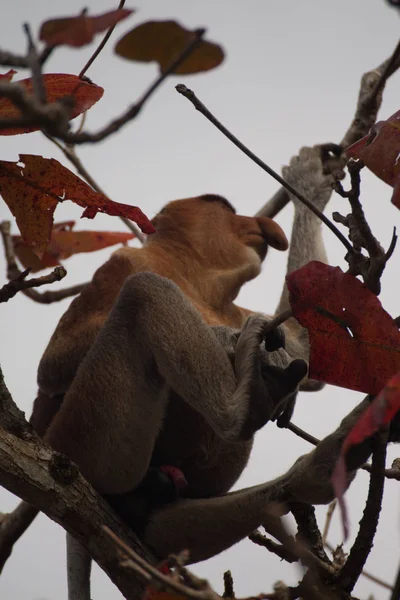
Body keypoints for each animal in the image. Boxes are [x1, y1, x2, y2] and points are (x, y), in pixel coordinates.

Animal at [29, 145, 380, 600]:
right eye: (222, 208)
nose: (258, 226)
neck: (197, 279)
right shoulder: (126, 262)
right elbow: (55, 364)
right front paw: (229, 340)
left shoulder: (235, 305)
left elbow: (309, 349)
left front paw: (311, 181)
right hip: (83, 442)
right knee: (143, 293)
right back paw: (245, 408)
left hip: (158, 519)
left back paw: (322, 467)